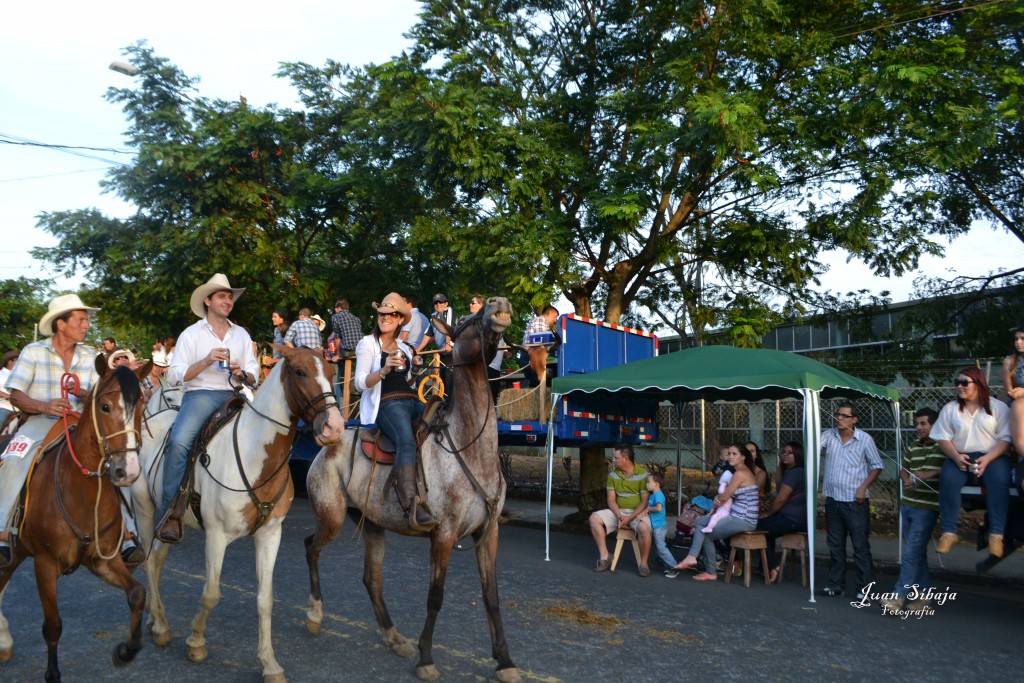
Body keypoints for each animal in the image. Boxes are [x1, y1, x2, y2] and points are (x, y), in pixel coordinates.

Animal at [0, 360, 149, 679]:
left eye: (141, 406)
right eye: (104, 407)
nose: (127, 471)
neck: (81, 489)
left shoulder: (103, 562)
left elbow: (137, 594)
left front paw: (126, 651)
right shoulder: (44, 565)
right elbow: (53, 625)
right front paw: (52, 674)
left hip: (17, 552)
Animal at [128, 348, 342, 683]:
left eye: (332, 372)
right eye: (299, 371)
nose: (334, 427)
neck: (255, 456)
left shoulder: (270, 535)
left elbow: (265, 600)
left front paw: (270, 663)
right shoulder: (216, 536)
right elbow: (211, 593)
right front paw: (196, 642)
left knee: (158, 560)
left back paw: (154, 617)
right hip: (144, 508)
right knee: (149, 561)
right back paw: (161, 627)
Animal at [303, 296, 520, 683]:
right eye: (464, 322)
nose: (499, 303)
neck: (469, 446)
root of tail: (326, 444)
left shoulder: (488, 532)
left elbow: (491, 597)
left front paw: (505, 661)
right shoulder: (444, 535)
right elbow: (435, 597)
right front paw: (426, 659)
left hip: (372, 524)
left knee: (371, 579)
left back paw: (394, 637)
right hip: (330, 516)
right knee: (311, 548)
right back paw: (315, 615)